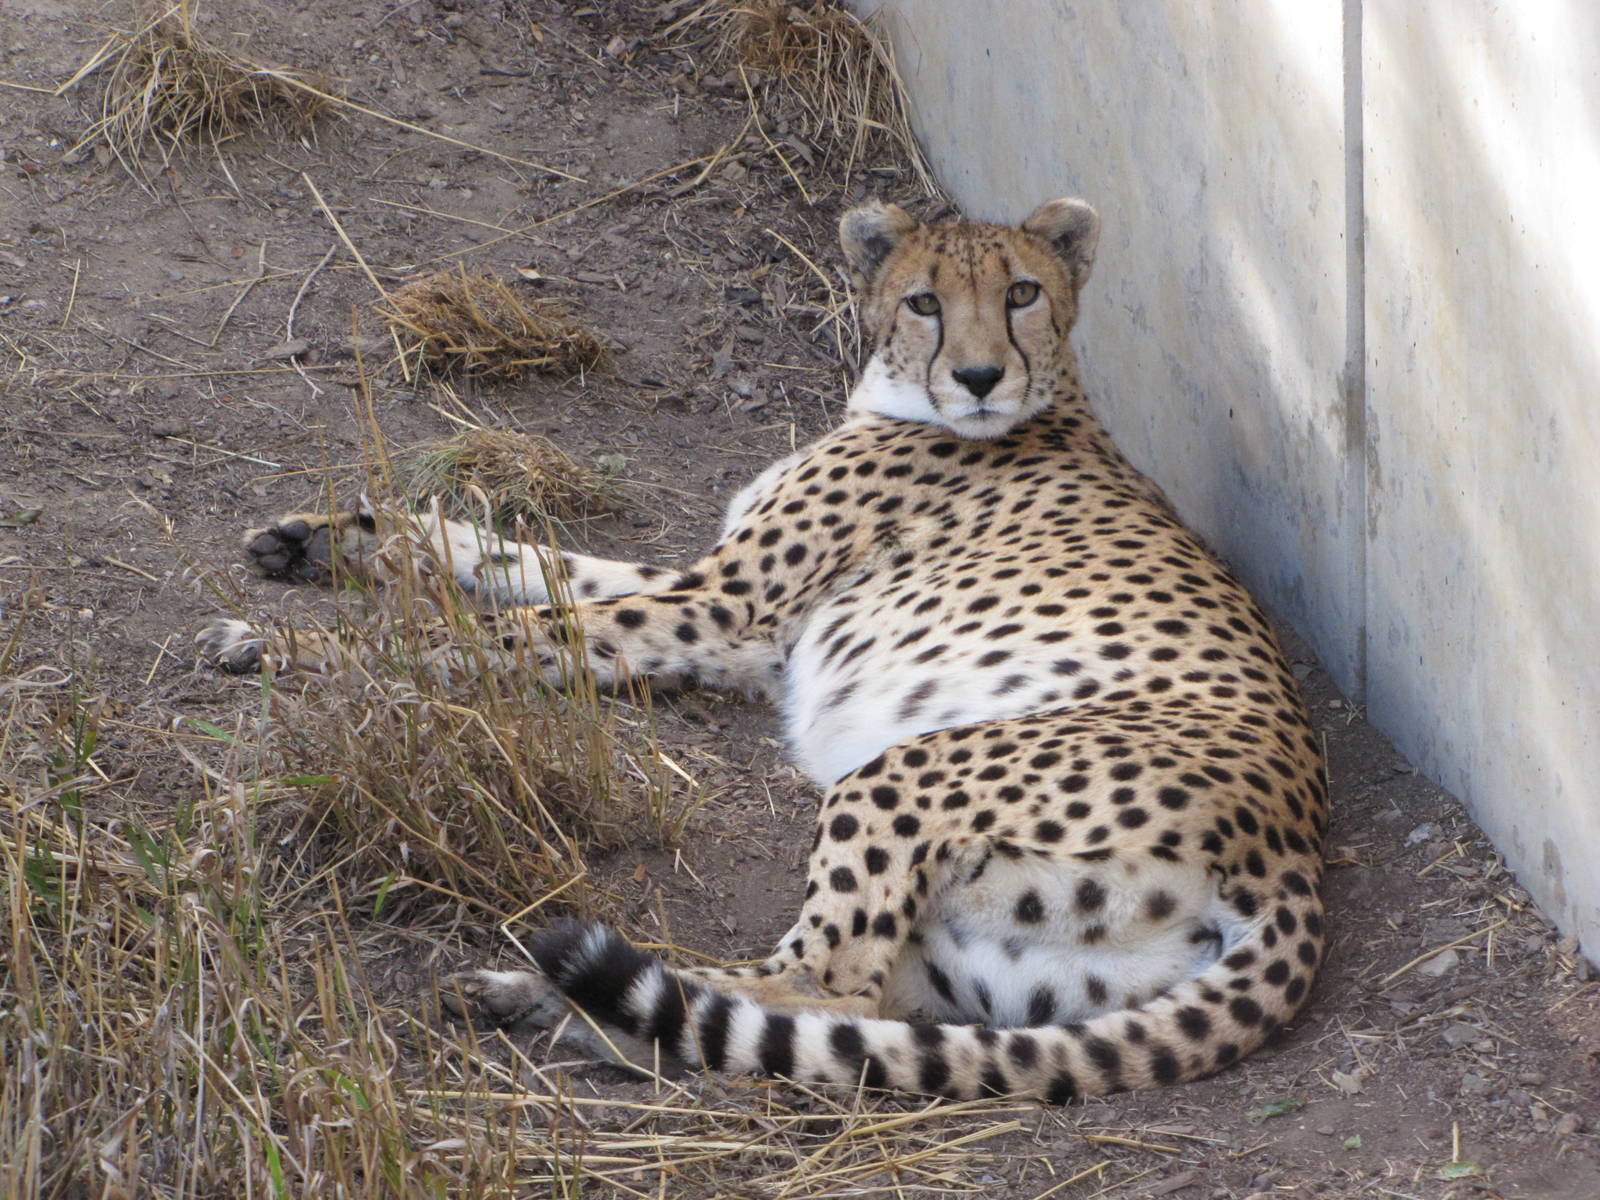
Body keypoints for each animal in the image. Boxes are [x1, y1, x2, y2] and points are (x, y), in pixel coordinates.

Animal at [199, 196, 1327, 1102]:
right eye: (924, 301)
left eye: (1020, 294)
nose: (977, 376)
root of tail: (1293, 855)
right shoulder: (730, 622)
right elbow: (526, 564)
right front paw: (327, 540)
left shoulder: (717, 605)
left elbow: (498, 631)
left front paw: (286, 643)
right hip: (993, 959)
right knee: (845, 1013)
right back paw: (553, 1002)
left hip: (908, 772)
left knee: (820, 984)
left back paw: (562, 995)